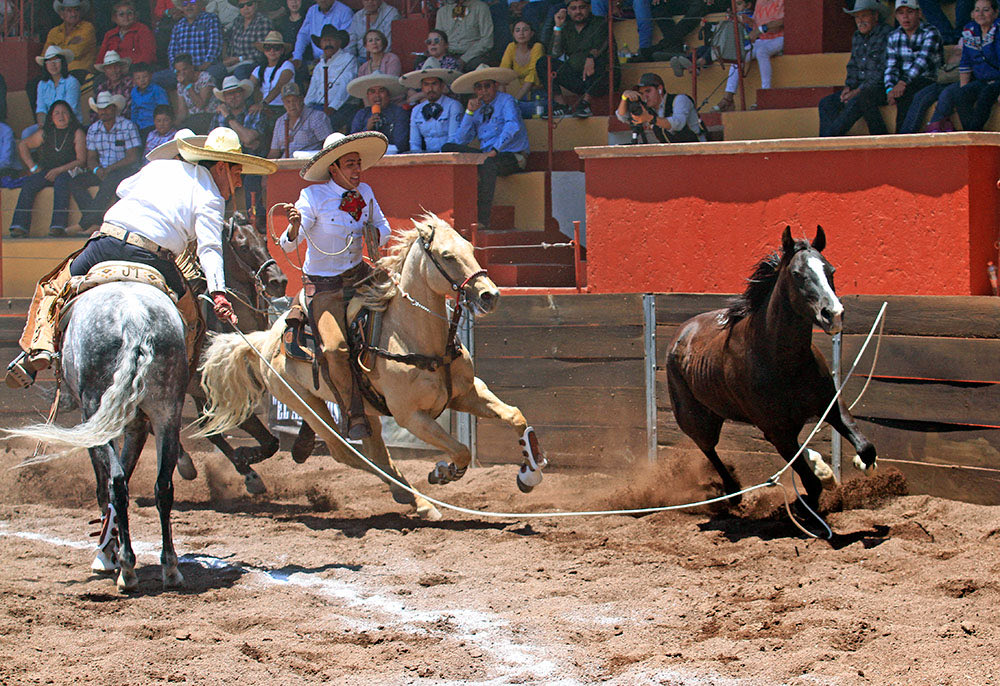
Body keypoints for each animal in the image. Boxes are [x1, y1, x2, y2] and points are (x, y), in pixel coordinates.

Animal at [6, 282, 189, 592]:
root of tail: (134, 318)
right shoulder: (137, 424)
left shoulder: (93, 420)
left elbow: (104, 486)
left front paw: (107, 553)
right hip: (168, 412)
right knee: (162, 486)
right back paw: (171, 568)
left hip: (97, 409)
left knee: (116, 483)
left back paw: (126, 569)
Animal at [178, 212, 288, 495]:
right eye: (242, 246)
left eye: (264, 239)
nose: (279, 281)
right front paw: (245, 457)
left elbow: (270, 442)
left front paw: (246, 465)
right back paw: (184, 462)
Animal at [197, 213, 547, 520]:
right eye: (446, 256)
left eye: (471, 249)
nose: (490, 295)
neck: (416, 338)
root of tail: (266, 339)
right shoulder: (411, 416)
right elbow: (461, 450)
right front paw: (442, 472)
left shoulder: (468, 393)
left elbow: (515, 416)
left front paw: (528, 474)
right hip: (307, 405)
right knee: (348, 453)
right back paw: (416, 497)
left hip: (363, 411)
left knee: (376, 453)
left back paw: (412, 498)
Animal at [666, 226, 877, 521]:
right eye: (797, 274)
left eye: (831, 270)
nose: (833, 314)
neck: (782, 361)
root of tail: (680, 335)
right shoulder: (777, 431)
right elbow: (809, 482)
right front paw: (802, 505)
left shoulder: (830, 406)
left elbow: (865, 447)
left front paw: (856, 464)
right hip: (696, 419)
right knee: (708, 448)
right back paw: (733, 493)